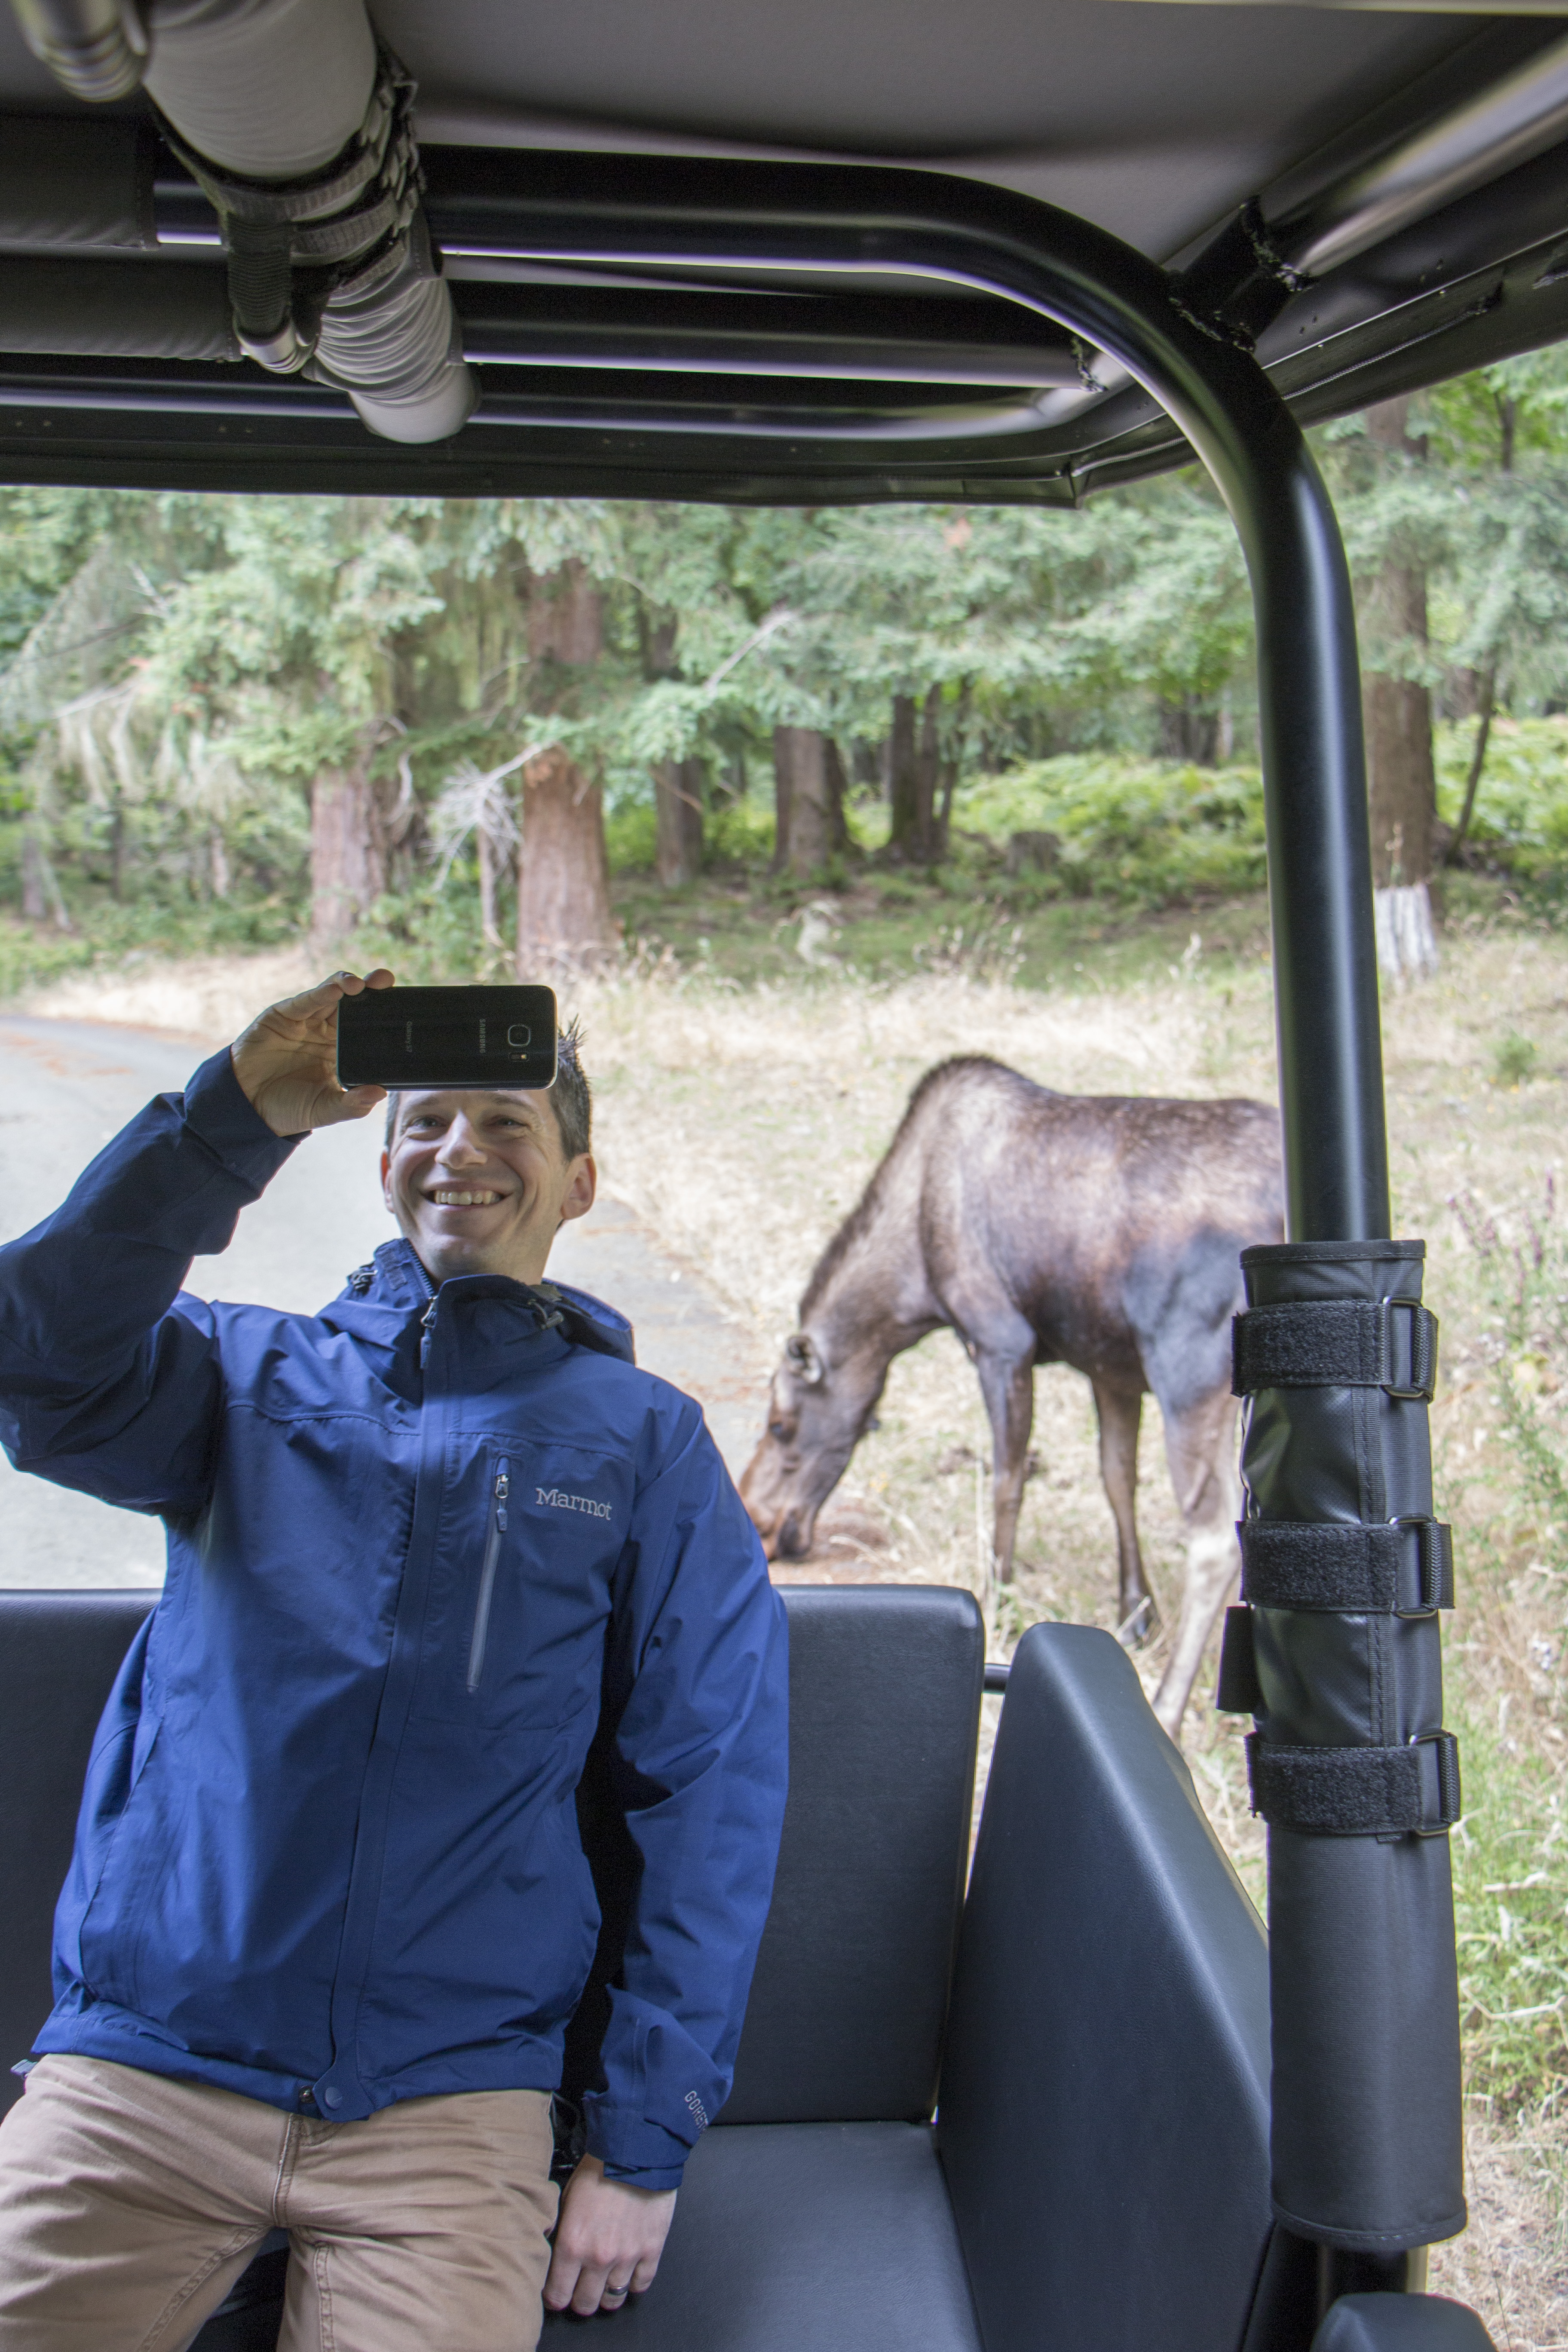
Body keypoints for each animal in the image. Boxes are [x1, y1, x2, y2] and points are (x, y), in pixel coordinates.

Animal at [743, 1058, 1279, 1740]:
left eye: (780, 1424)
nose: (757, 1519)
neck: (912, 1292)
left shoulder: (1002, 1341)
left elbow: (1007, 1478)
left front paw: (999, 1590)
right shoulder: (1110, 1367)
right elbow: (1118, 1481)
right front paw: (1135, 1613)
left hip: (1189, 1368)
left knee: (1214, 1537)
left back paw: (1167, 1707)